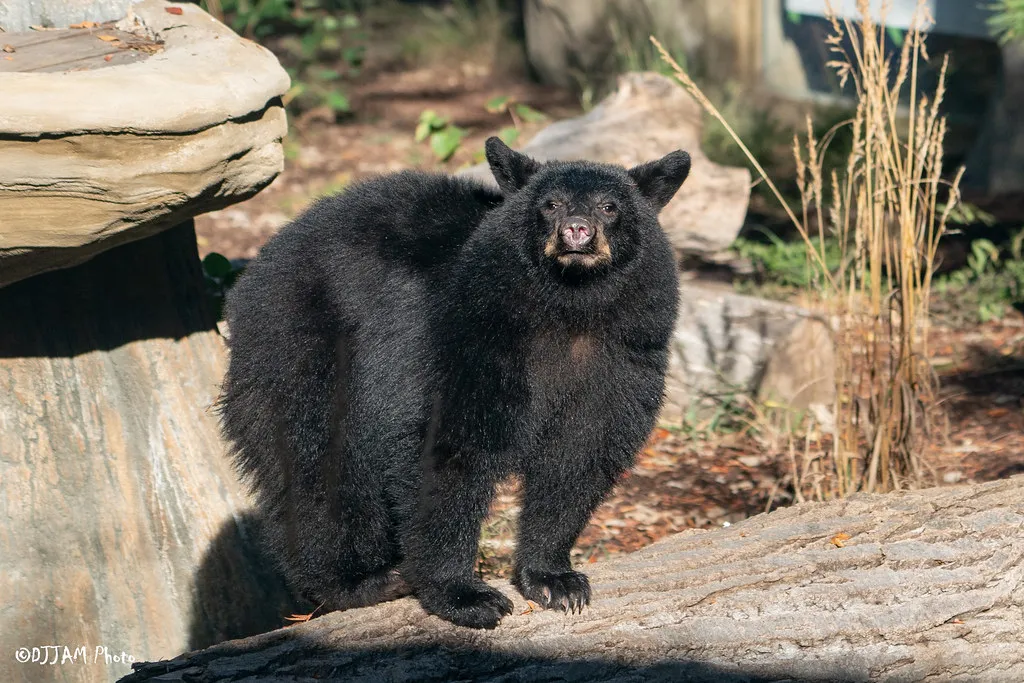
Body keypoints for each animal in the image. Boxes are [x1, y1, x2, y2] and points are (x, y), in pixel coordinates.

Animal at [218, 137, 690, 629]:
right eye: (551, 204)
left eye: (609, 206)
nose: (577, 231)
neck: (570, 308)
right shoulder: (468, 334)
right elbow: (447, 444)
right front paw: (464, 594)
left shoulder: (622, 354)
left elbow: (581, 453)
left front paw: (555, 579)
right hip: (307, 343)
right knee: (321, 460)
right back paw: (357, 582)